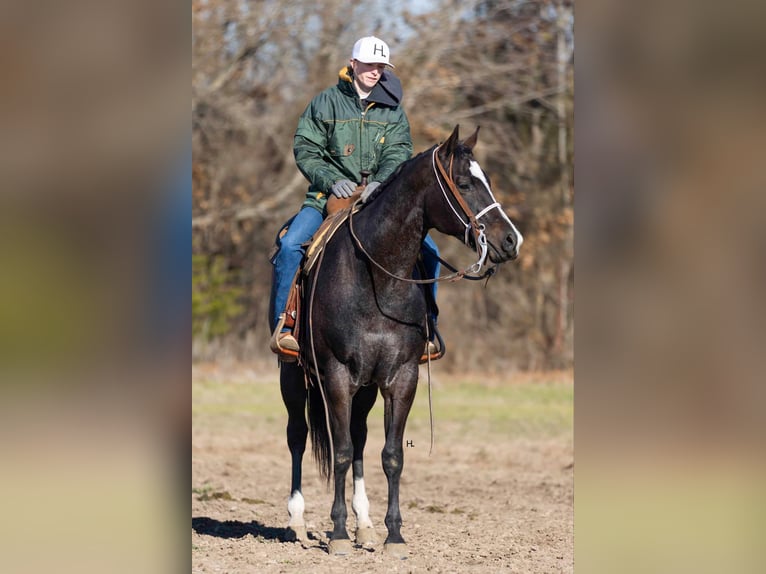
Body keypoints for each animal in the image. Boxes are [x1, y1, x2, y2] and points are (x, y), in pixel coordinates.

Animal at [268, 125, 524, 560]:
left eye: (486, 179)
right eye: (464, 182)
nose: (510, 240)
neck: (376, 275)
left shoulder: (400, 378)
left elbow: (390, 455)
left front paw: (392, 536)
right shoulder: (336, 375)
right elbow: (339, 453)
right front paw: (338, 535)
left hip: (366, 388)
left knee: (358, 436)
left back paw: (365, 526)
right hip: (294, 375)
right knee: (298, 436)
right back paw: (299, 522)